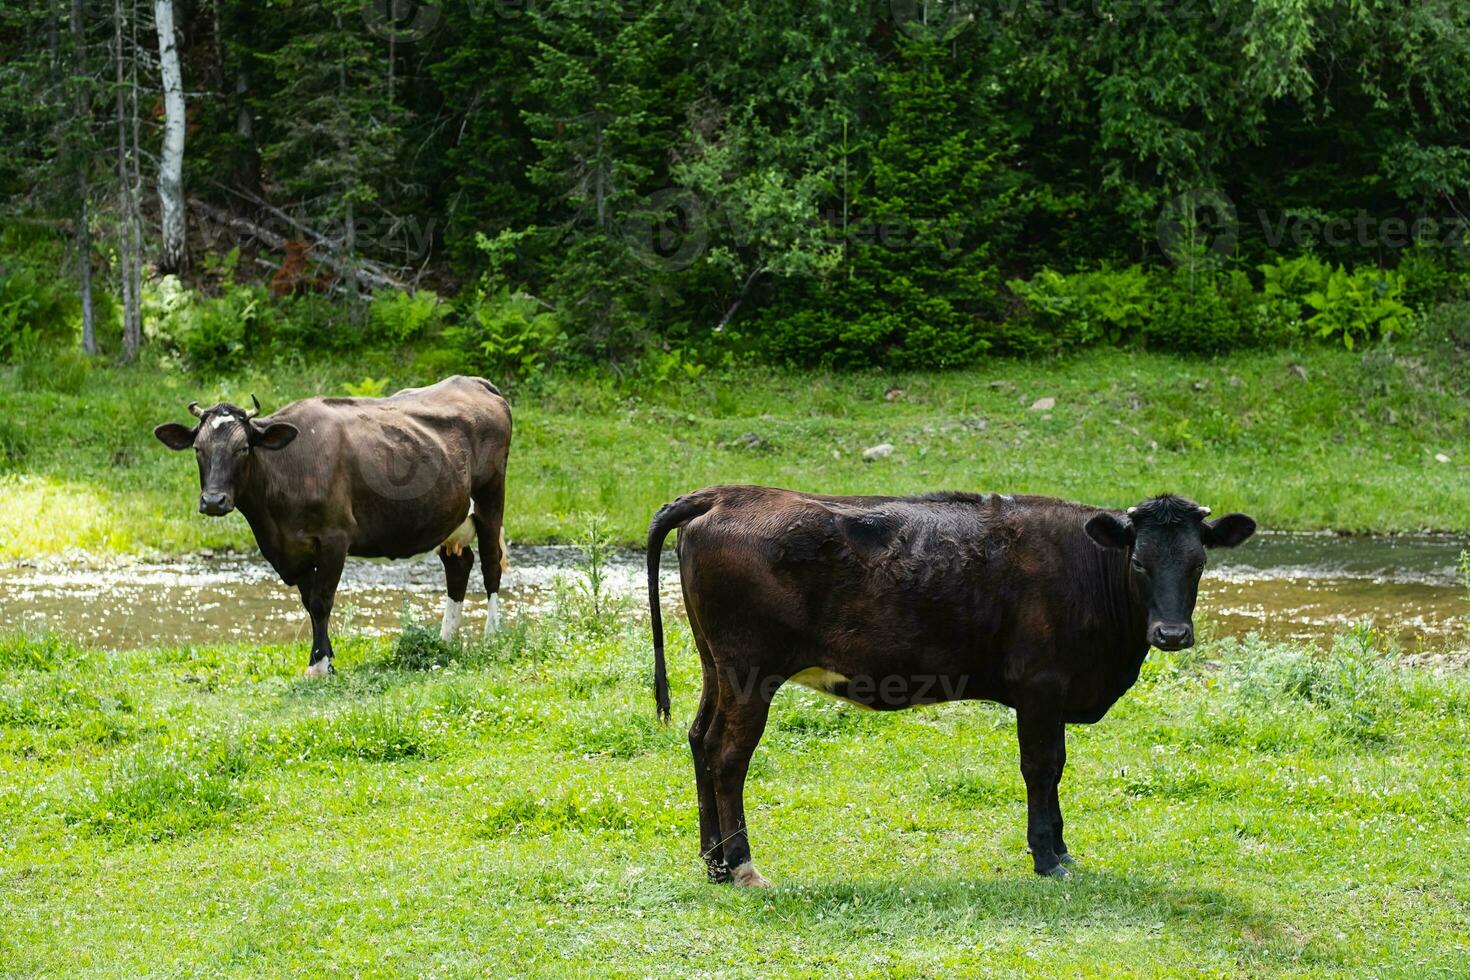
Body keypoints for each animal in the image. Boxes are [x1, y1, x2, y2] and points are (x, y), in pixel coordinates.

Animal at [155, 376, 511, 675]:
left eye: (243, 448)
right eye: (198, 449)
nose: (214, 501)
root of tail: (474, 382)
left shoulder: (334, 538)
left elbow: (321, 601)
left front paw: (319, 666)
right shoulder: (289, 548)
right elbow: (308, 603)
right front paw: (325, 658)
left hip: (491, 499)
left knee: (491, 564)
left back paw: (492, 636)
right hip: (449, 515)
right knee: (459, 565)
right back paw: (445, 640)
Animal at [649, 487, 1258, 887]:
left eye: (1199, 563)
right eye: (1138, 562)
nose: (1172, 634)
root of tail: (727, 495)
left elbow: (1054, 769)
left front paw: (1062, 851)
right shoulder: (1041, 686)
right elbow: (1043, 767)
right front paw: (1047, 857)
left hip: (715, 665)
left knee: (700, 740)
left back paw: (714, 863)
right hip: (750, 672)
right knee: (728, 756)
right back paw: (743, 865)